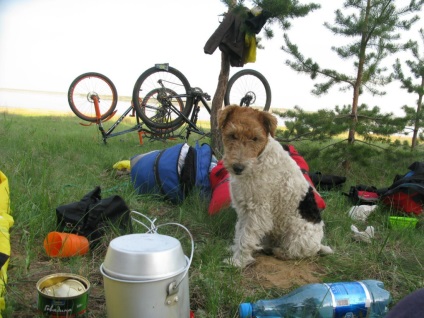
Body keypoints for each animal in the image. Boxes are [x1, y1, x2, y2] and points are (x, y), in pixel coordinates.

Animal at [219, 105, 334, 268]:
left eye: (255, 138)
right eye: (232, 135)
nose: (238, 168)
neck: (259, 158)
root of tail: (319, 244)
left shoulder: (257, 211)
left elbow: (246, 237)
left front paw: (237, 261)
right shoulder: (244, 207)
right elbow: (239, 232)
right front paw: (234, 251)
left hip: (296, 233)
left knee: (298, 252)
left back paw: (280, 252)